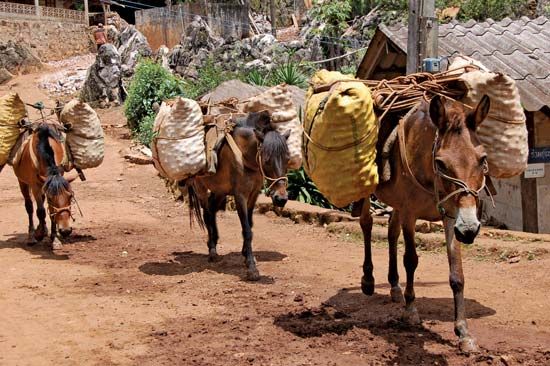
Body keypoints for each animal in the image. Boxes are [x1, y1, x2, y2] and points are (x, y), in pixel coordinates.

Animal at [188, 111, 292, 280]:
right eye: (267, 160)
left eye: (287, 160)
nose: (281, 199)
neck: (245, 156)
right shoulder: (240, 196)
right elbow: (247, 230)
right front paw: (251, 268)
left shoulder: (253, 194)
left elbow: (250, 225)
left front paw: (246, 255)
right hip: (201, 188)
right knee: (207, 214)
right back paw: (212, 251)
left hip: (220, 190)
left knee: (212, 210)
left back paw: (214, 243)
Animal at [362, 96, 492, 354]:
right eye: (441, 163)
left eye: (482, 159)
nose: (470, 230)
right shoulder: (410, 213)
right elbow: (411, 260)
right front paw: (411, 311)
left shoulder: (452, 216)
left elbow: (457, 273)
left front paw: (463, 332)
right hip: (366, 191)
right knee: (367, 224)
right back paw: (369, 280)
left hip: (398, 205)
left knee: (391, 231)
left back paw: (395, 287)